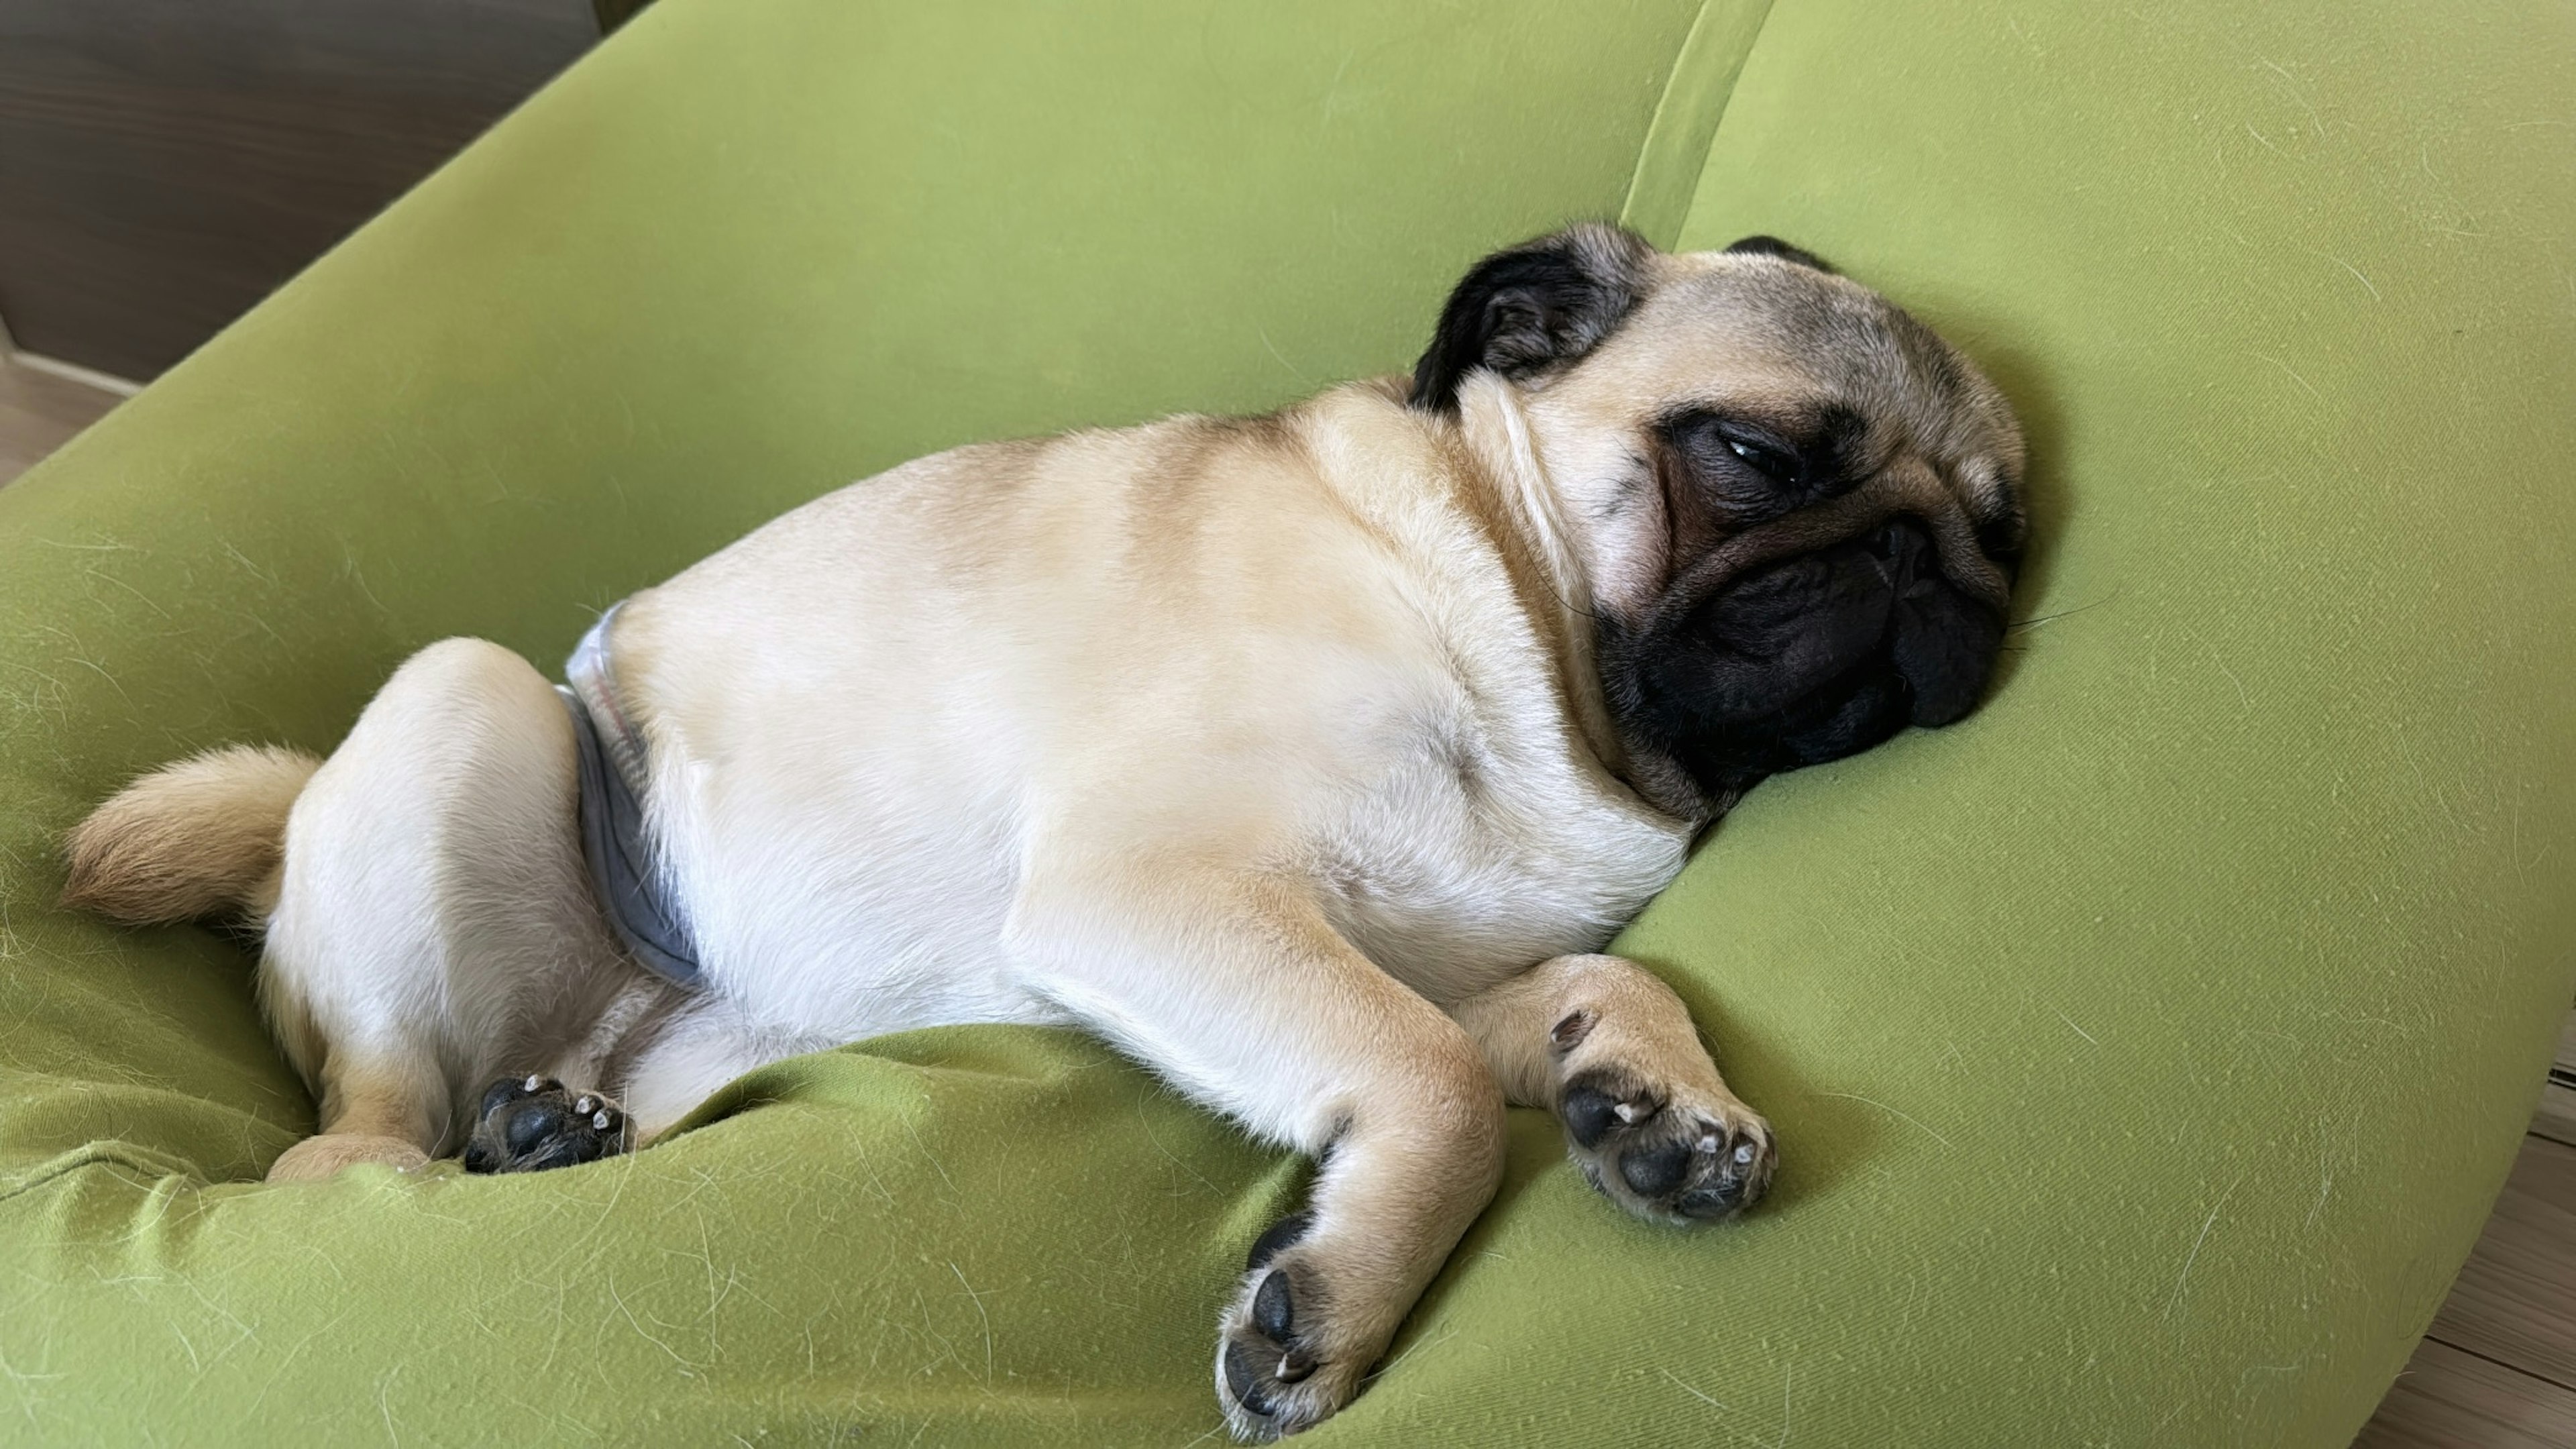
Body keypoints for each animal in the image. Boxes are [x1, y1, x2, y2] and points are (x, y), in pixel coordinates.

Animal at [65, 225, 2009, 1433]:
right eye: (1751, 459)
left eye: (2002, 525)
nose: (1925, 568)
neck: (1526, 634)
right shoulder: (1156, 894)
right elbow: (1441, 1088)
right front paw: (1337, 1303)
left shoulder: (1430, 962)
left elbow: (1578, 1002)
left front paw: (1656, 1101)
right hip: (466, 714)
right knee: (350, 1152)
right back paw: (447, 1145)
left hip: (720, 1035)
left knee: (576, 1102)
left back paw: (554, 1132)